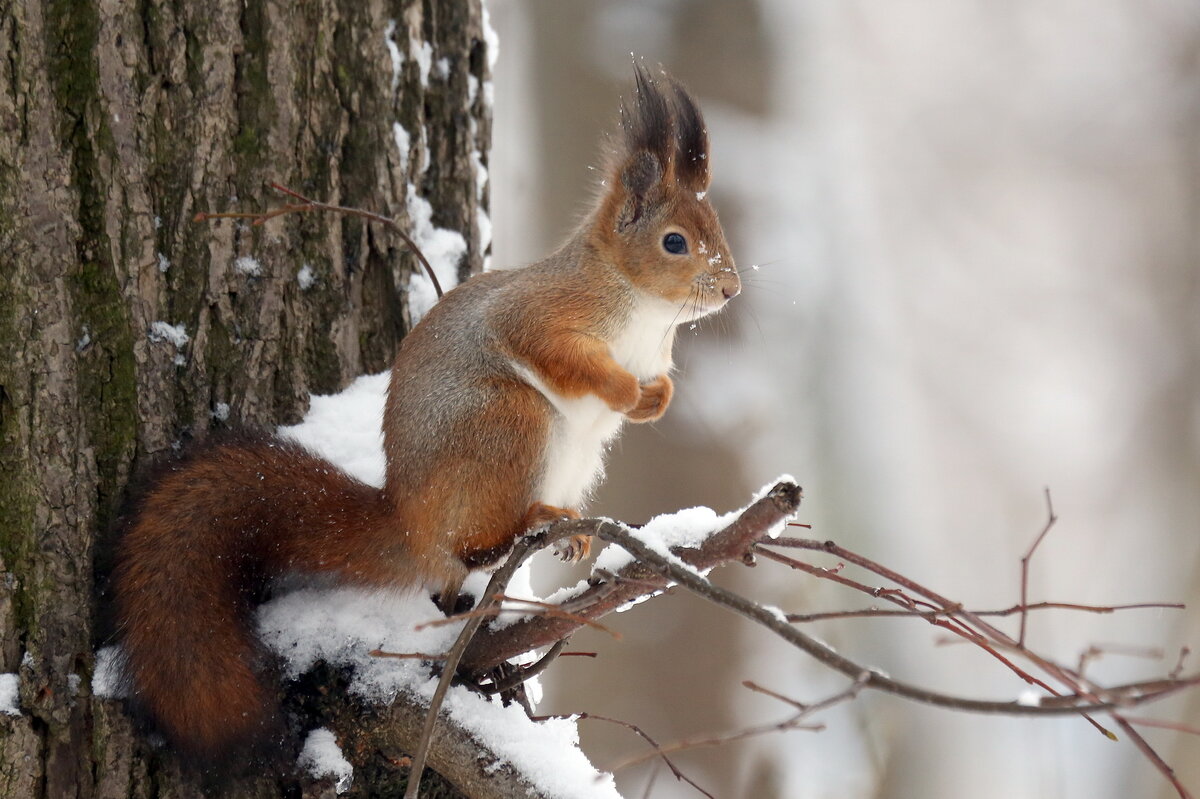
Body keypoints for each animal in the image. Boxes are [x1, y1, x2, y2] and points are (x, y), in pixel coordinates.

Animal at [110, 66, 739, 767]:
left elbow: (659, 382)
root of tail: (407, 520)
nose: (731, 288)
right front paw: (625, 392)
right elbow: (563, 358)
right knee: (470, 546)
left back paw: (567, 529)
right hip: (508, 420)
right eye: (675, 242)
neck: (642, 311)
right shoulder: (539, 317)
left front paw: (656, 400)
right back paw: (529, 521)